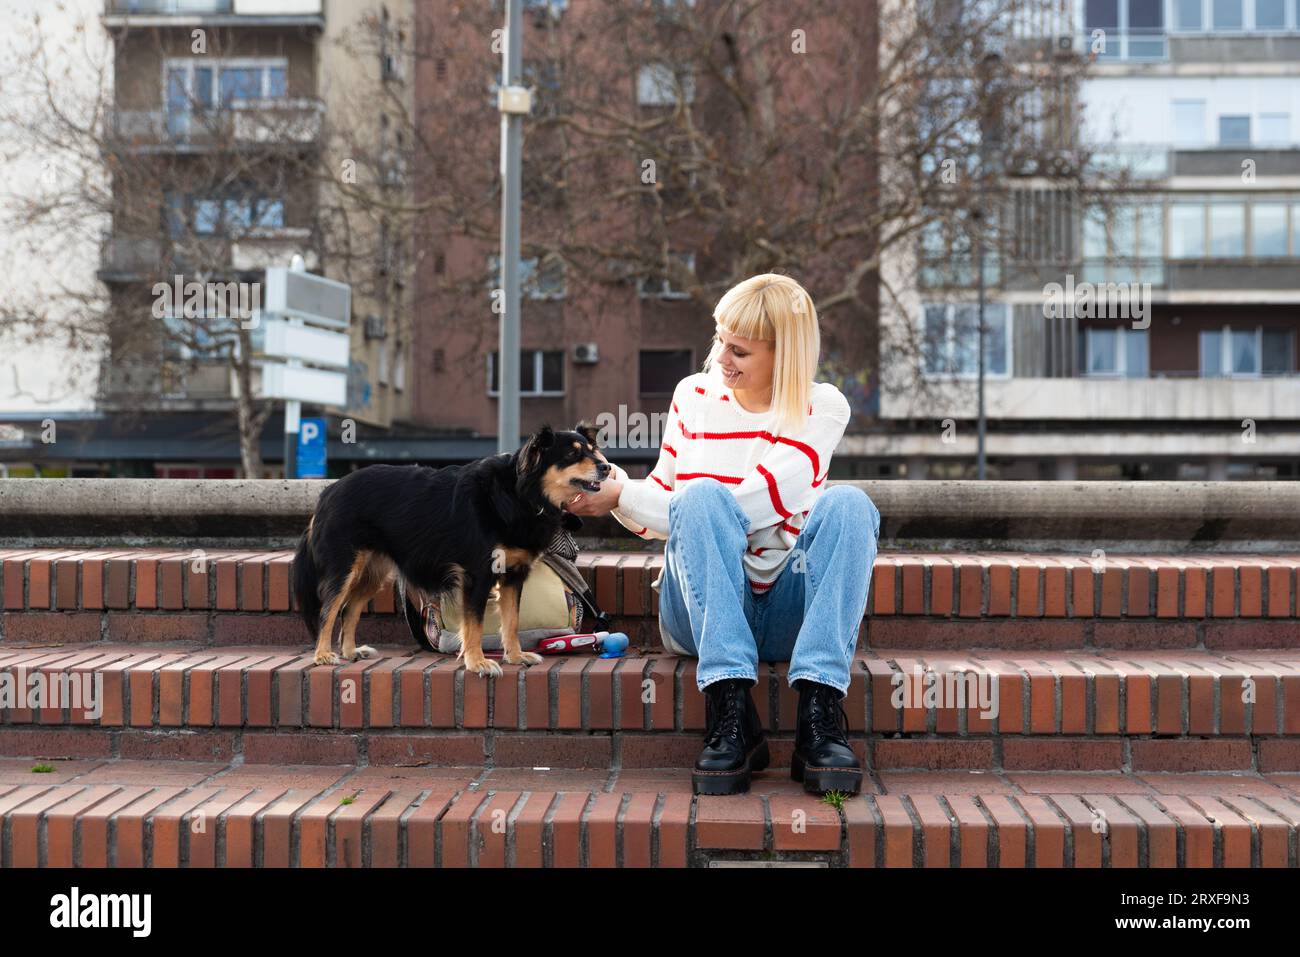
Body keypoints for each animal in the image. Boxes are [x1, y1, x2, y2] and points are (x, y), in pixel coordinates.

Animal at [297, 421, 611, 676]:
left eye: (592, 450)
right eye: (572, 454)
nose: (606, 467)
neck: (519, 494)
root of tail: (327, 493)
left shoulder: (513, 574)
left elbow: (511, 621)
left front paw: (515, 656)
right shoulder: (477, 574)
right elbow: (473, 625)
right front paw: (477, 662)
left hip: (372, 571)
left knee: (350, 608)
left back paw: (351, 651)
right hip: (345, 568)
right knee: (329, 609)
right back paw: (323, 655)